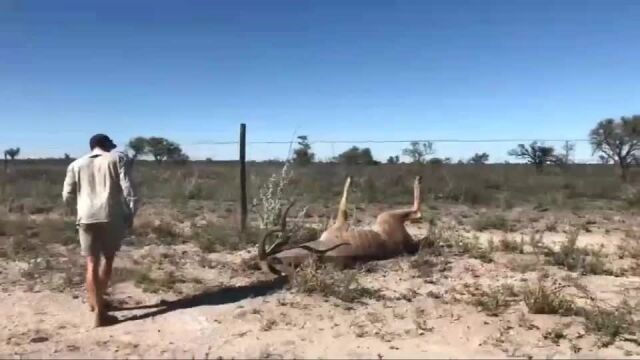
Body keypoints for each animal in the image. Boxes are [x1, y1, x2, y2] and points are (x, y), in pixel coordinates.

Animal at [258, 175, 422, 276]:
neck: (320, 252)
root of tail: (408, 243)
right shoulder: (340, 223)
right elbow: (343, 205)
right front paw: (350, 179)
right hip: (386, 216)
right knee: (417, 212)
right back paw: (417, 179)